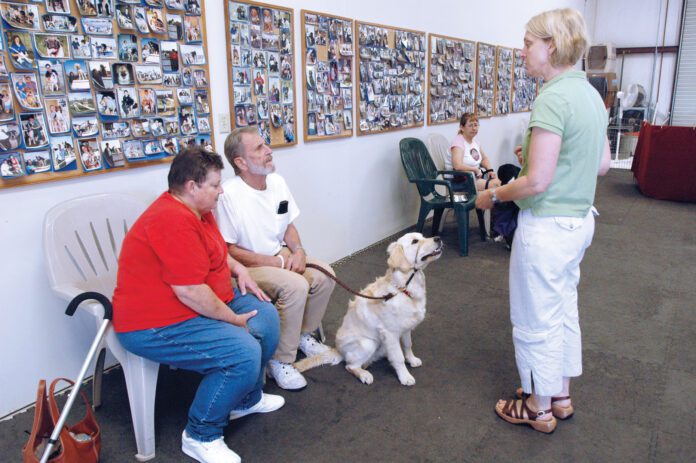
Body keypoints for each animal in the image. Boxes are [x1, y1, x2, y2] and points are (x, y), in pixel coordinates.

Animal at [294, 232, 440, 388]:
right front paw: (405, 377)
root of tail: (338, 349)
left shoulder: (406, 328)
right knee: (350, 365)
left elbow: (407, 345)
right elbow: (399, 357)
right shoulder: (390, 333)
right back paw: (364, 374)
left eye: (423, 236)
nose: (438, 238)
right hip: (369, 343)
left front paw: (412, 360)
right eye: (415, 241)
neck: (403, 289)